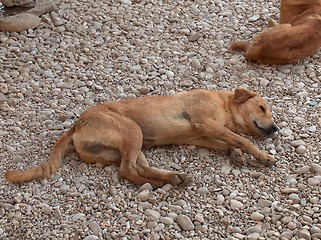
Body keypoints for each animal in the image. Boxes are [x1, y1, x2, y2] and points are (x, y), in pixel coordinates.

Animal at [5, 88, 278, 188]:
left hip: (132, 146)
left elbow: (229, 141)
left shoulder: (202, 136)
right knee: (127, 170)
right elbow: (241, 139)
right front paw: (262, 156)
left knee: (137, 167)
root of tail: (76, 124)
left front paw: (236, 154)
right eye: (262, 108)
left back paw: (171, 178)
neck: (223, 104)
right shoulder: (204, 122)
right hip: (132, 130)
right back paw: (159, 184)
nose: (275, 128)